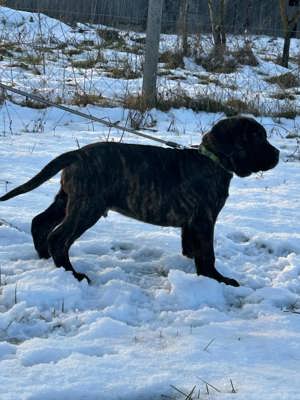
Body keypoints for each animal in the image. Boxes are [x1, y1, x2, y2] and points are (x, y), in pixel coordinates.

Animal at [0, 117, 278, 286]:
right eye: (256, 138)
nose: (277, 153)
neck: (213, 160)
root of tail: (76, 154)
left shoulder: (192, 222)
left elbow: (193, 249)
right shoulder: (204, 219)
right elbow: (207, 253)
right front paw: (217, 279)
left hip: (67, 199)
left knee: (40, 222)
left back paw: (45, 259)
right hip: (87, 207)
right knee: (58, 238)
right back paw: (73, 274)